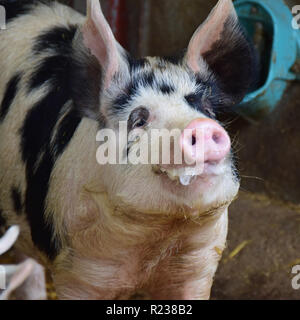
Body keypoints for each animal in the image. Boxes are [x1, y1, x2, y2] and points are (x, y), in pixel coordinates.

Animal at [0, 0, 255, 300]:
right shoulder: (77, 273)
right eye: (139, 119)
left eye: (205, 108)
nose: (200, 125)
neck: (159, 238)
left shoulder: (199, 266)